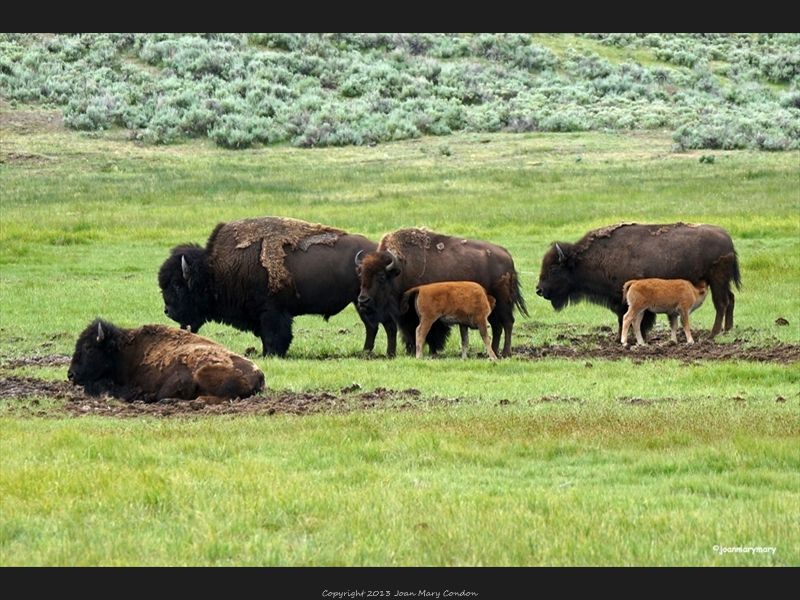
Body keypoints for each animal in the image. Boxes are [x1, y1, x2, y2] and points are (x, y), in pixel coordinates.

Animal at [158, 216, 396, 356]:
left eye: (178, 285)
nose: (168, 311)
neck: (215, 268)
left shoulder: (272, 312)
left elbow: (273, 336)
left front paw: (271, 354)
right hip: (360, 301)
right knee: (373, 325)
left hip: (364, 300)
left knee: (375, 325)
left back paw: (367, 352)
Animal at [354, 225, 528, 356]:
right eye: (361, 275)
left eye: (381, 276)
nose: (363, 301)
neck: (401, 269)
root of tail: (507, 257)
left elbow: (431, 331)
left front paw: (431, 351)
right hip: (492, 306)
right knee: (498, 326)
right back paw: (494, 351)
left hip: (504, 304)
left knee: (508, 323)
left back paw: (505, 352)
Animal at [536, 221, 740, 342]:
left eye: (554, 269)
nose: (539, 290)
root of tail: (727, 237)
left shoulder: (624, 300)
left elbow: (627, 318)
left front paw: (624, 338)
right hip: (722, 282)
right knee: (730, 299)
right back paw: (728, 330)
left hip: (717, 280)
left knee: (721, 303)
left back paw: (713, 335)